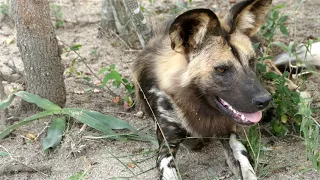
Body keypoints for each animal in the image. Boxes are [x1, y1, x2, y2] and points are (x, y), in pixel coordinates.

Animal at [133, 0, 272, 180]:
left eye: (251, 61)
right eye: (221, 69)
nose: (265, 100)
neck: (198, 107)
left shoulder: (229, 134)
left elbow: (246, 168)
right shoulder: (167, 145)